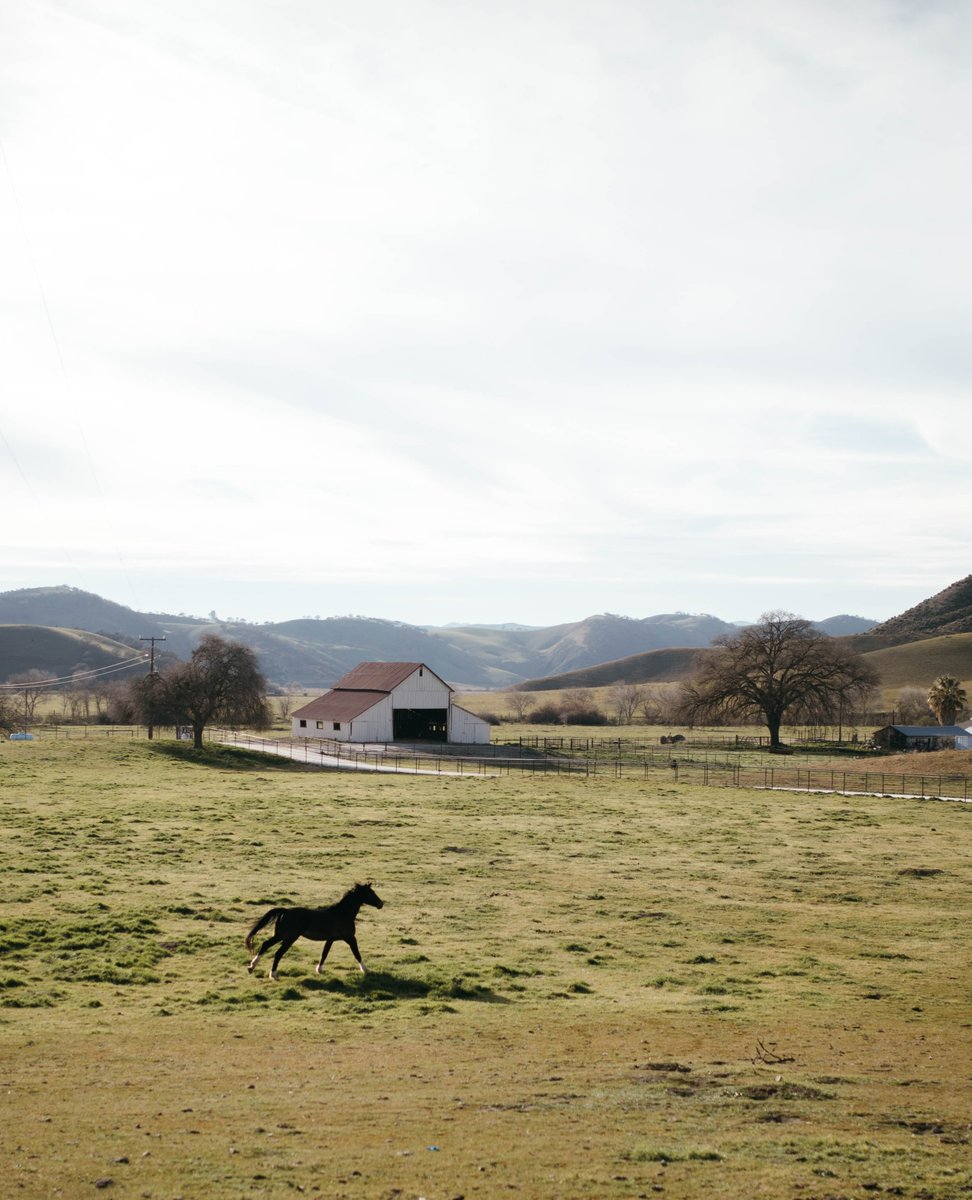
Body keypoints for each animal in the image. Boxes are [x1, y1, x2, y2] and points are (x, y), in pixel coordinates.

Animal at [245, 882, 384, 980]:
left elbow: (324, 954)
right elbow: (357, 954)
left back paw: (251, 967)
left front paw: (319, 970)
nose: (381, 904)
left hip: (280, 936)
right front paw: (366, 970)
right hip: (289, 938)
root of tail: (286, 911)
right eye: (371, 893)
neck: (343, 914)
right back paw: (273, 974)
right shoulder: (350, 938)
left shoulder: (330, 939)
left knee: (265, 944)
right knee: (278, 953)